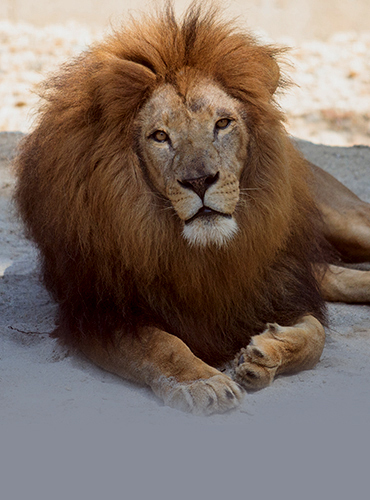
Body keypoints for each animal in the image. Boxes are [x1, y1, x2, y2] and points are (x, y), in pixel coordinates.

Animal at [13, 3, 370, 414]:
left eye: (223, 123)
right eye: (160, 136)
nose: (199, 181)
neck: (200, 255)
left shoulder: (276, 280)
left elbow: (316, 335)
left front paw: (264, 356)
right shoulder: (99, 312)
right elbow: (161, 344)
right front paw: (203, 382)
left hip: (344, 221)